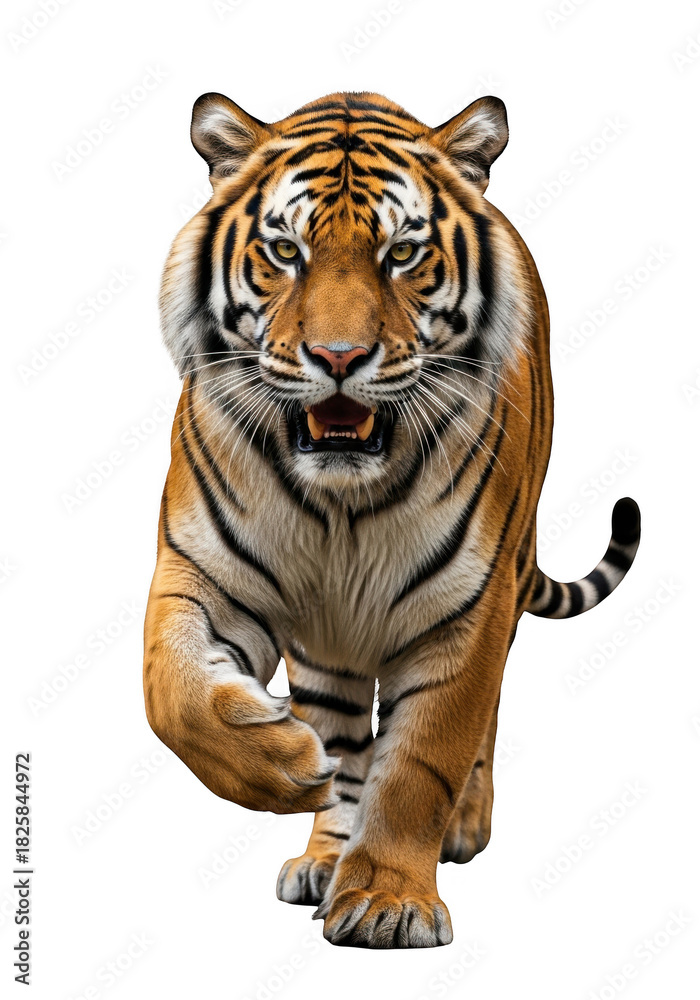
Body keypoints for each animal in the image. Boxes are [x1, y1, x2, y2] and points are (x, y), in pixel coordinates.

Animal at [144, 90, 641, 949]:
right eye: (284, 251)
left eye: (403, 254)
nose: (339, 358)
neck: (342, 505)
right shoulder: (202, 570)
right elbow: (171, 693)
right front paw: (284, 767)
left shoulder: (469, 611)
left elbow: (420, 761)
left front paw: (388, 902)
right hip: (327, 641)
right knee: (344, 730)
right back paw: (322, 853)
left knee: (479, 726)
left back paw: (459, 829)